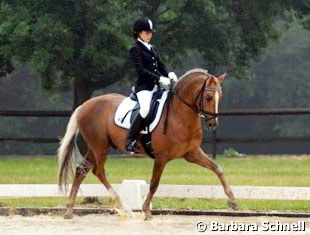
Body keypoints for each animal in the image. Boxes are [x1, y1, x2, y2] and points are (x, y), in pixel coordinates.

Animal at [57, 68, 237, 220]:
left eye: (220, 96)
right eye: (208, 97)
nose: (213, 124)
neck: (179, 115)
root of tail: (84, 105)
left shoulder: (191, 153)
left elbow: (217, 168)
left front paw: (233, 200)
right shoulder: (161, 157)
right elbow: (154, 184)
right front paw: (146, 211)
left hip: (94, 148)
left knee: (81, 171)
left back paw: (69, 211)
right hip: (99, 147)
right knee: (99, 171)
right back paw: (125, 209)